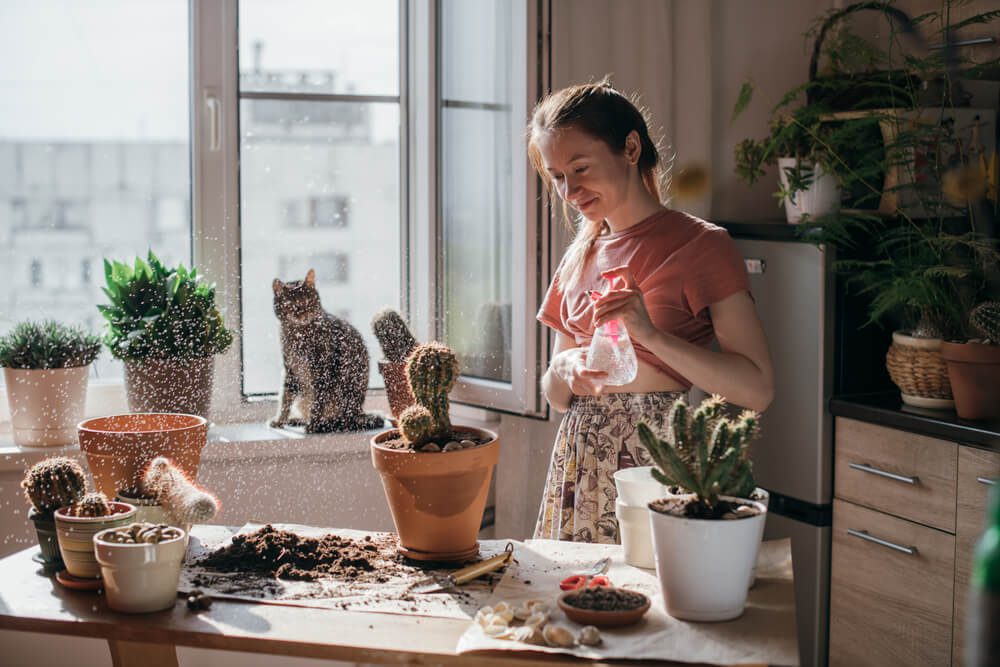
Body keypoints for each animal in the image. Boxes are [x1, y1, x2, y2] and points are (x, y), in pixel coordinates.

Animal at [270, 268, 386, 436]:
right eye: (290, 304)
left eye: (308, 301)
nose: (302, 313)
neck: (297, 334)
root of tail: (359, 412)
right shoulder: (290, 370)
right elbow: (285, 399)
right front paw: (280, 420)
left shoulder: (321, 370)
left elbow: (317, 403)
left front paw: (313, 424)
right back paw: (297, 419)